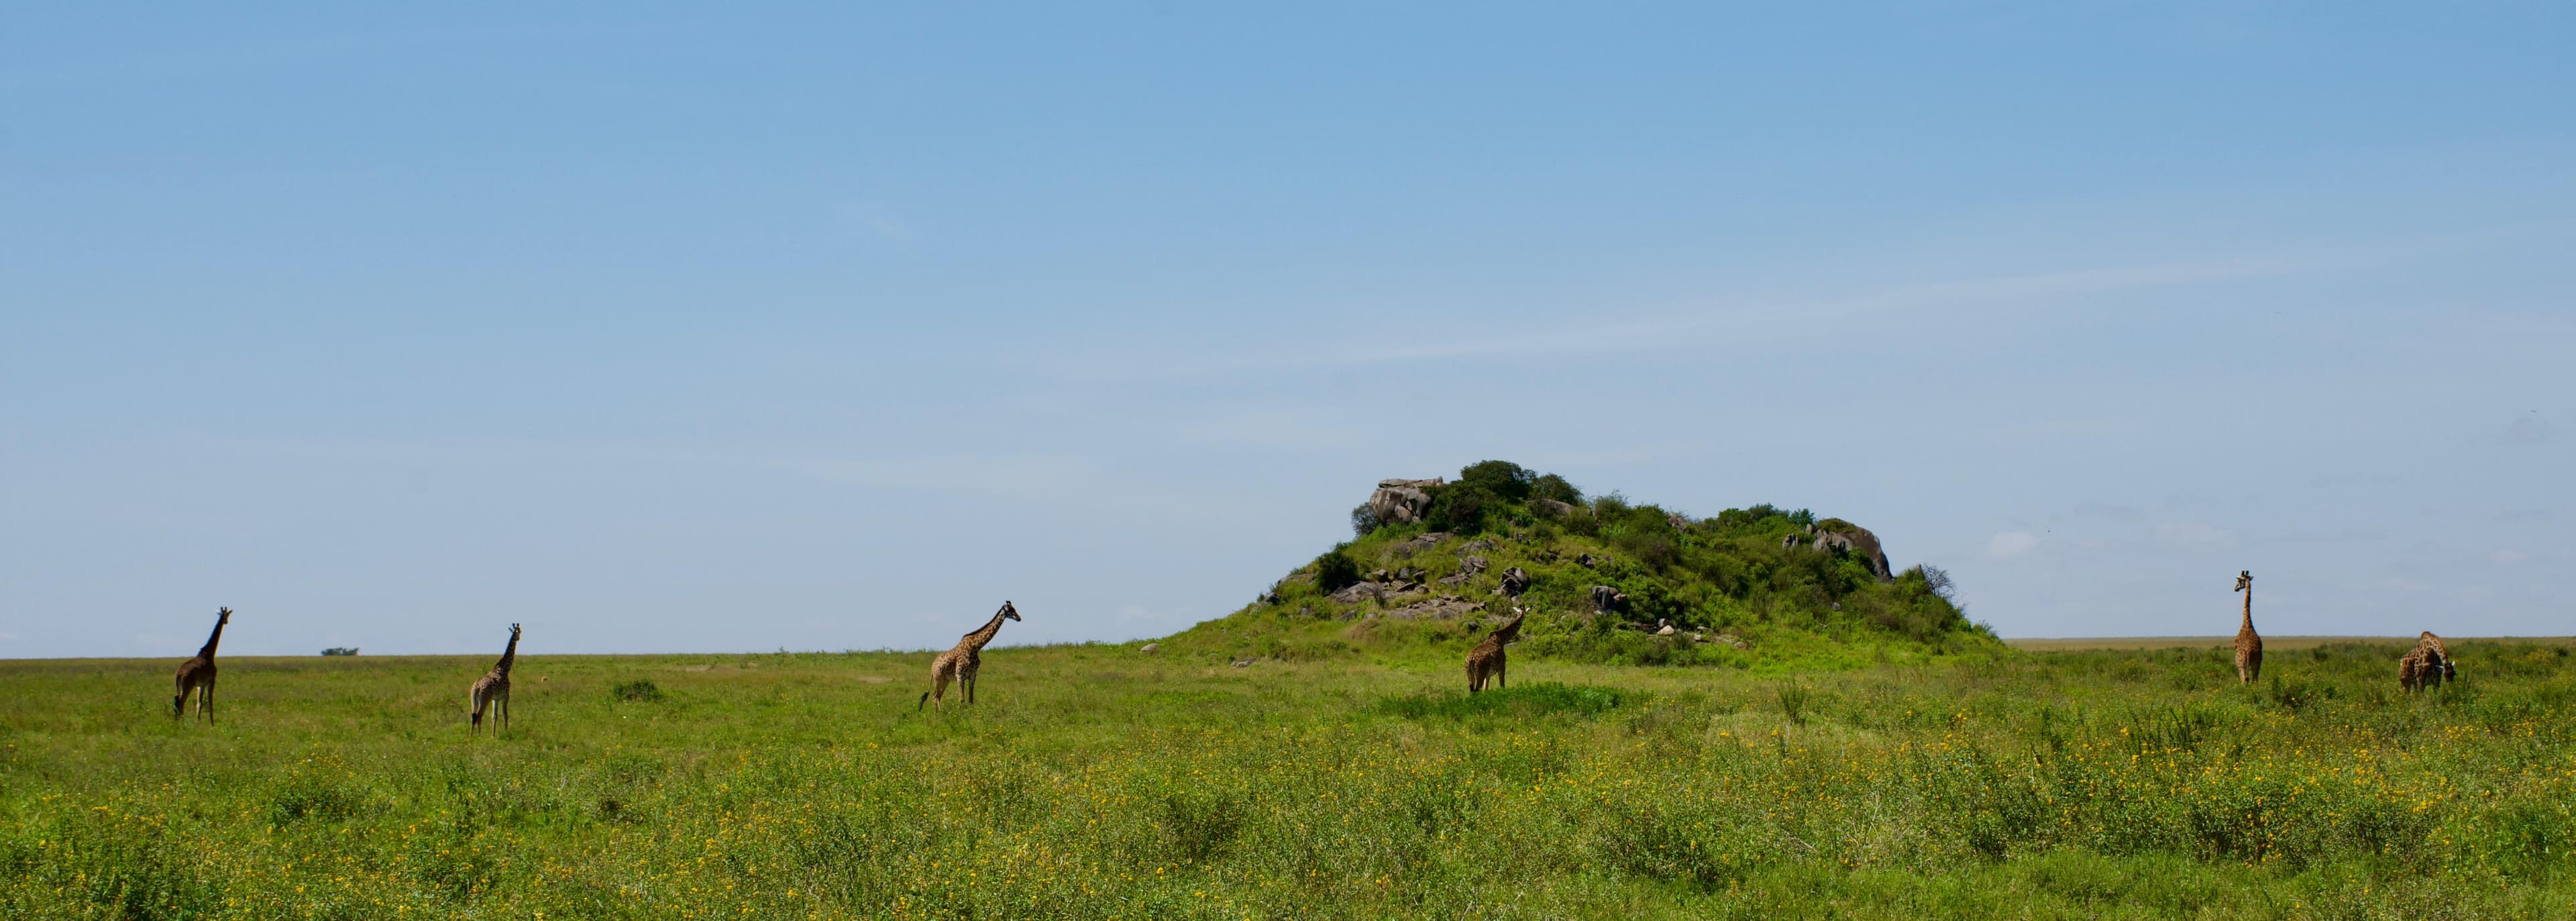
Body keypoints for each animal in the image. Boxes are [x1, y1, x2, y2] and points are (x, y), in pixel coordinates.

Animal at [172, 607, 231, 723]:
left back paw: (178, 721)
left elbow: (199, 704)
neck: (209, 653)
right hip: (188, 685)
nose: (226, 622)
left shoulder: (201, 685)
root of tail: (179, 674)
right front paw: (212, 724)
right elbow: (210, 703)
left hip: (180, 686)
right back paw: (183, 722)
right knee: (181, 702)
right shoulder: (212, 680)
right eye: (227, 615)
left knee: (176, 699)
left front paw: (198, 722)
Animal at [468, 623, 521, 735]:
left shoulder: (495, 699)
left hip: (474, 698)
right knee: (479, 716)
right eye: (520, 631)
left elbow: (495, 717)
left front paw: (493, 735)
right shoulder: (506, 696)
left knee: (473, 716)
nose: (519, 638)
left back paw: (470, 737)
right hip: (485, 699)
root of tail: (477, 687)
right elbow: (505, 715)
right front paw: (506, 733)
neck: (504, 668)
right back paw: (479, 736)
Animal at [918, 601, 1020, 711]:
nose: (1019, 618)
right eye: (1010, 610)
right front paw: (961, 714)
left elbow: (971, 699)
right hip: (938, 678)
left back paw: (938, 713)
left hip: (946, 680)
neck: (976, 647)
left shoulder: (973, 674)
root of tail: (932, 666)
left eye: (1015, 609)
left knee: (937, 696)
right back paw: (939, 713)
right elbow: (962, 699)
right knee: (935, 696)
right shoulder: (960, 675)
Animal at [1465, 607, 1526, 693]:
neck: (1503, 639)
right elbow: (1502, 686)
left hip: (1470, 675)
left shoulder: (1488, 674)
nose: (1522, 616)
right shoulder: (1502, 667)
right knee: (1476, 691)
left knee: (1473, 691)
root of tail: (1470, 660)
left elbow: (1486, 689)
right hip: (1480, 674)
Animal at [2232, 570, 2263, 684]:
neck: (2247, 623)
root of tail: (2249, 652)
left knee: (2244, 681)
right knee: (2255, 681)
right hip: (2257, 663)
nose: (2236, 589)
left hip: (2241, 664)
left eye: (2239, 581)